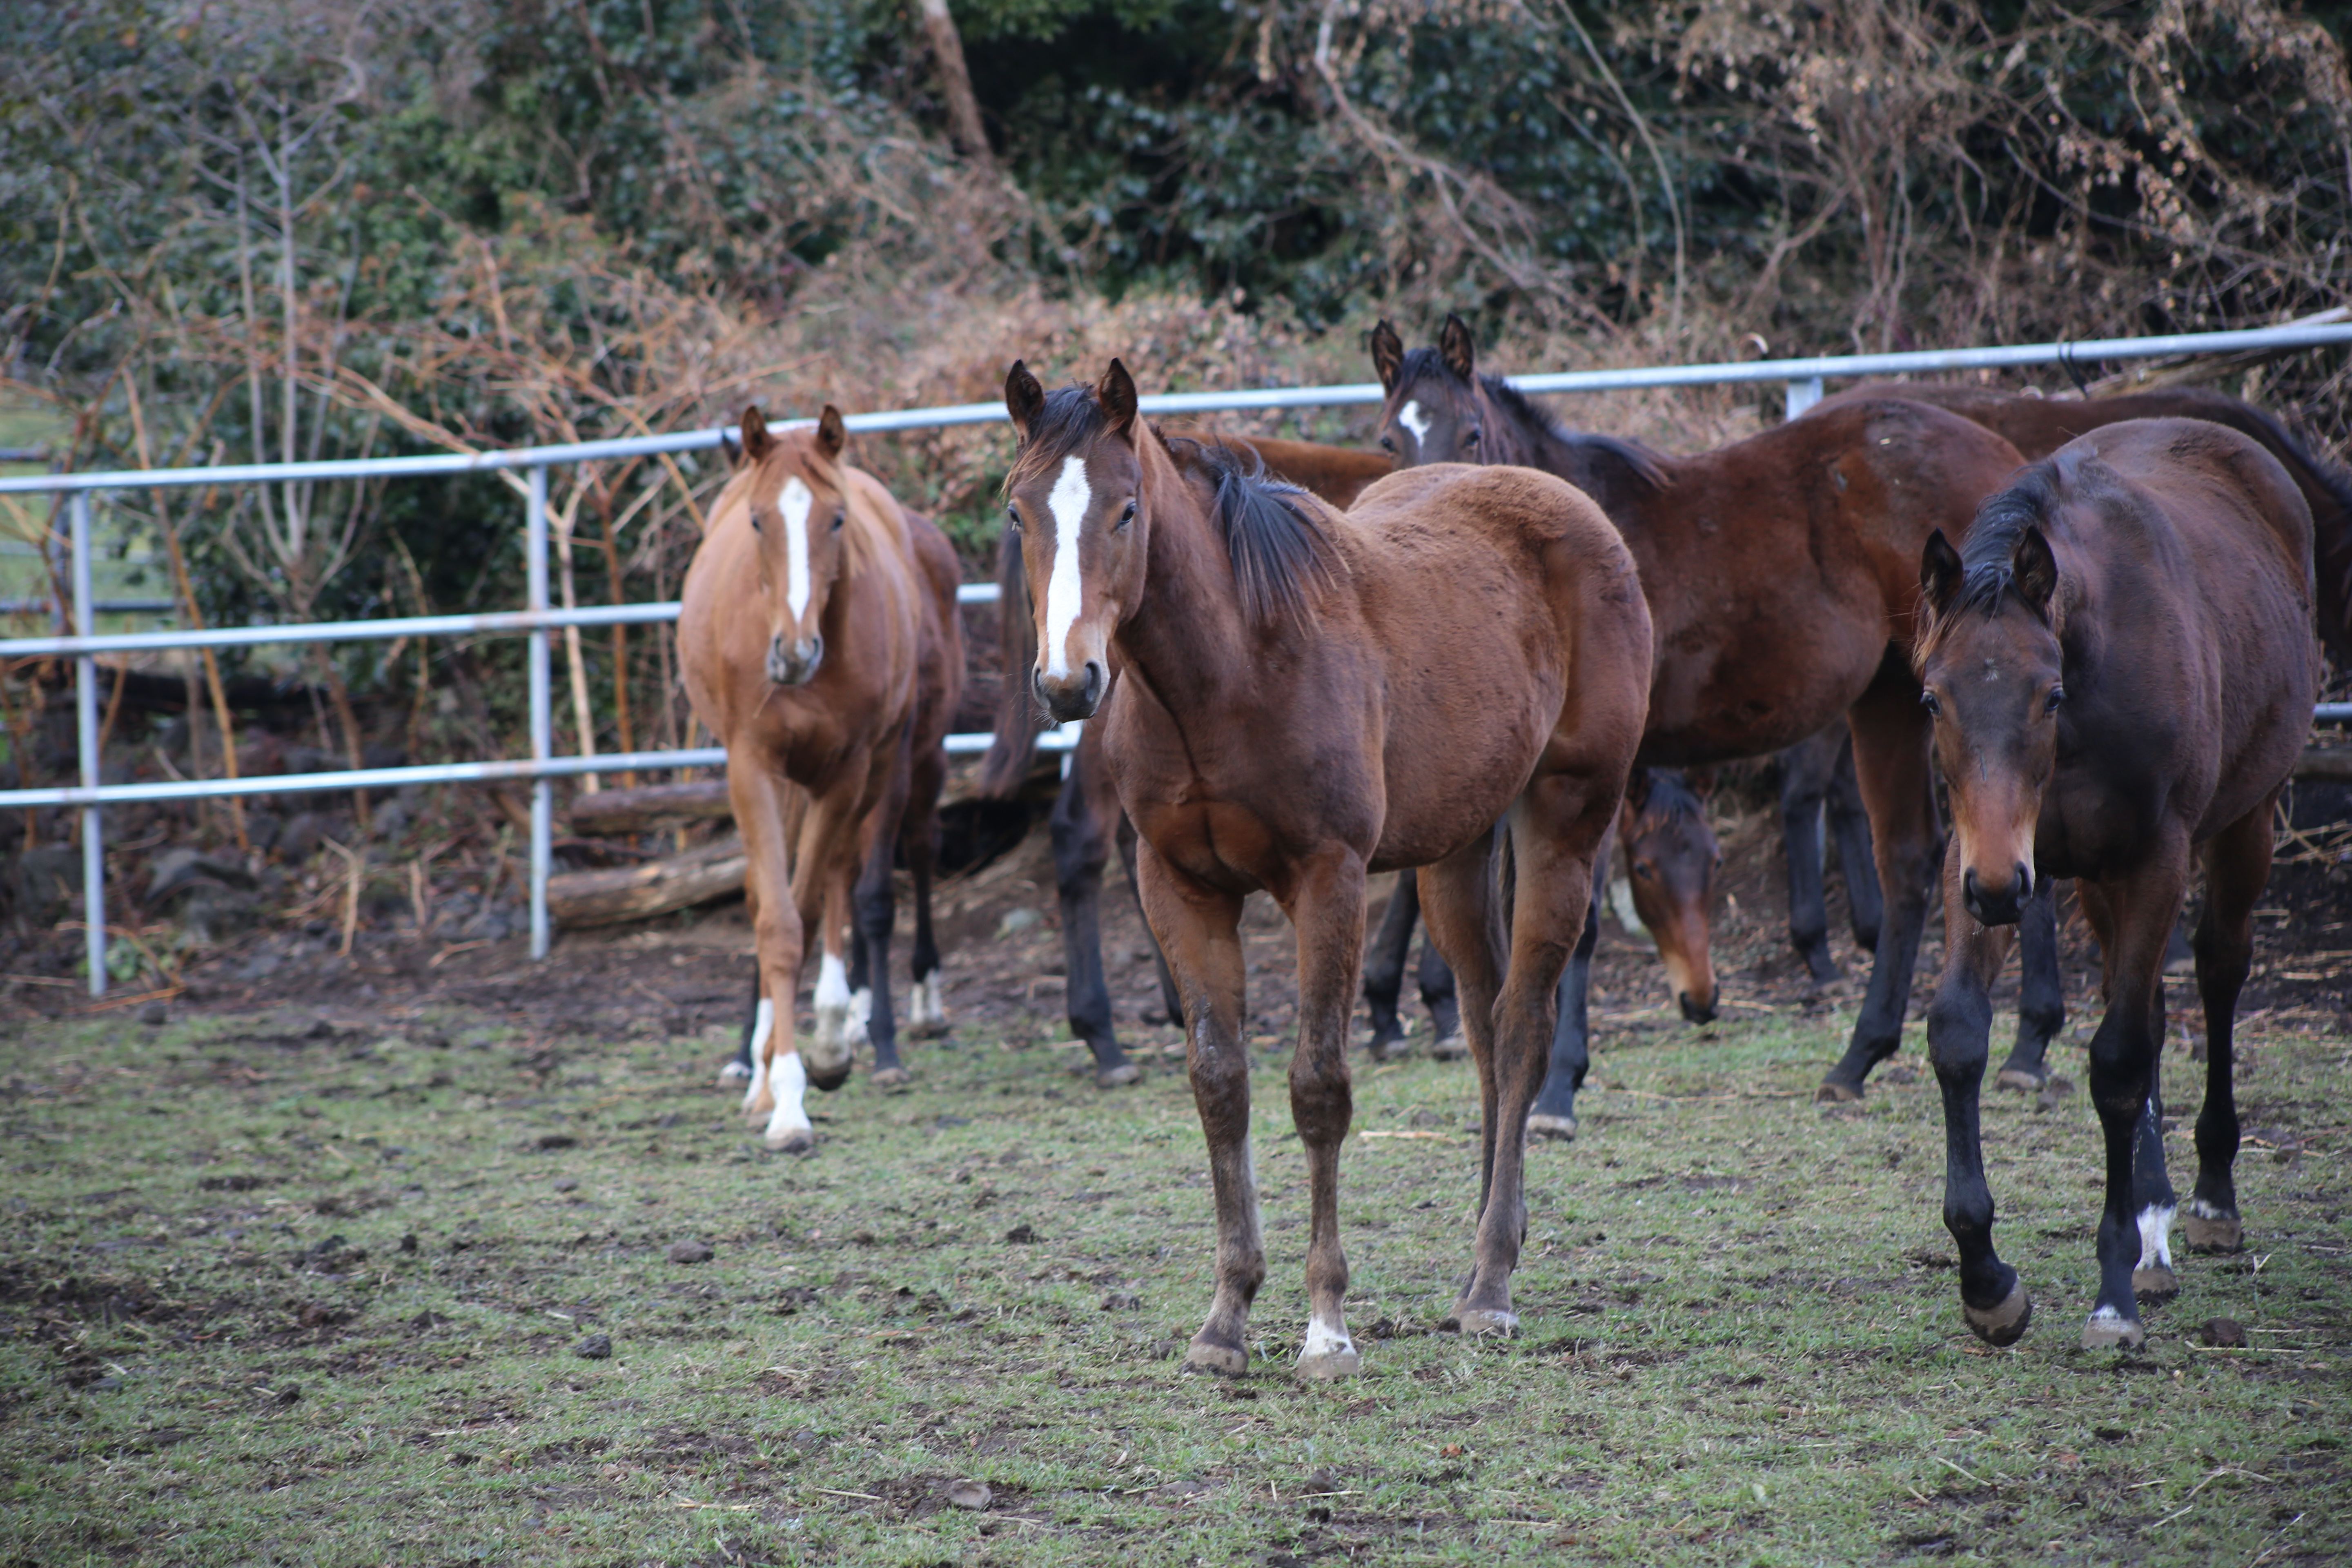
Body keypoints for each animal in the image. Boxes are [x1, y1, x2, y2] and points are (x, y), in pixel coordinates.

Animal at [682, 404, 964, 1152]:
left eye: (836, 520)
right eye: (757, 521)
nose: (794, 651)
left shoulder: (851, 768)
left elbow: (811, 912)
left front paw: (812, 1068)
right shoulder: (752, 766)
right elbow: (776, 918)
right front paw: (775, 1092)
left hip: (881, 766)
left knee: (846, 877)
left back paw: (842, 1030)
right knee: (778, 889)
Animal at [997, 355, 1656, 1373]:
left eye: (1127, 509)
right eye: (1018, 513)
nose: (1069, 683)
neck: (1227, 672)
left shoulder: (1328, 879)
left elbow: (1318, 1091)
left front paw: (1326, 1328)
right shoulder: (1179, 888)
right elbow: (1220, 1087)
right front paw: (1226, 1321)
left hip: (1566, 821)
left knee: (1523, 1029)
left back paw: (1492, 1285)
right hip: (1458, 850)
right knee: (1482, 1024)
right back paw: (1481, 1253)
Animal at [1919, 421, 2323, 1354]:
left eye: (2048, 694)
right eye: (1930, 700)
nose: (1998, 889)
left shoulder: (2152, 859)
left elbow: (2116, 1061)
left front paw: (2111, 1295)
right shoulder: (1982, 857)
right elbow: (1959, 1034)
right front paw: (1988, 1282)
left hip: (2244, 823)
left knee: (2215, 972)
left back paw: (2206, 1202)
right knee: (2142, 1003)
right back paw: (2156, 1228)